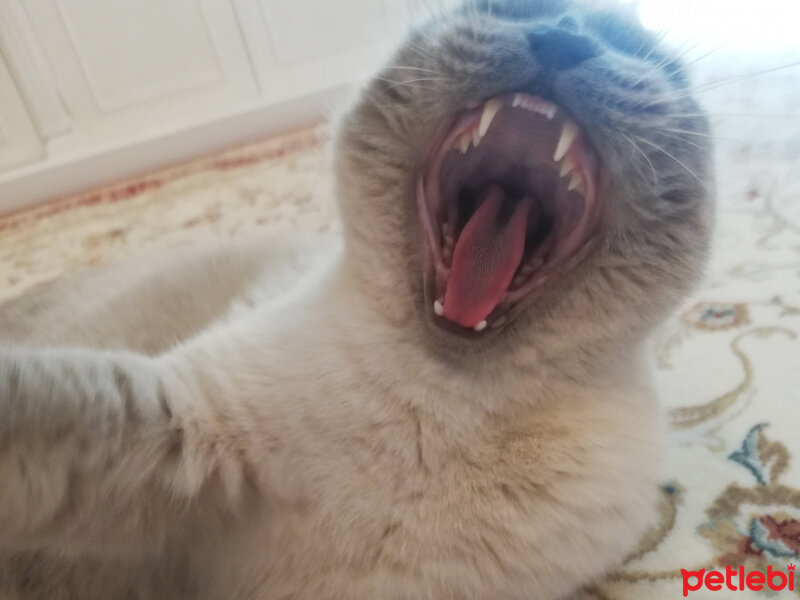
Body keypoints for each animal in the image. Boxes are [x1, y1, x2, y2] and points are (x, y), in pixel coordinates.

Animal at [0, 1, 712, 600]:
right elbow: (43, 401)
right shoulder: (174, 430)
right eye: (512, 12)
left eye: (633, 51)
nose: (564, 40)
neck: (445, 407)